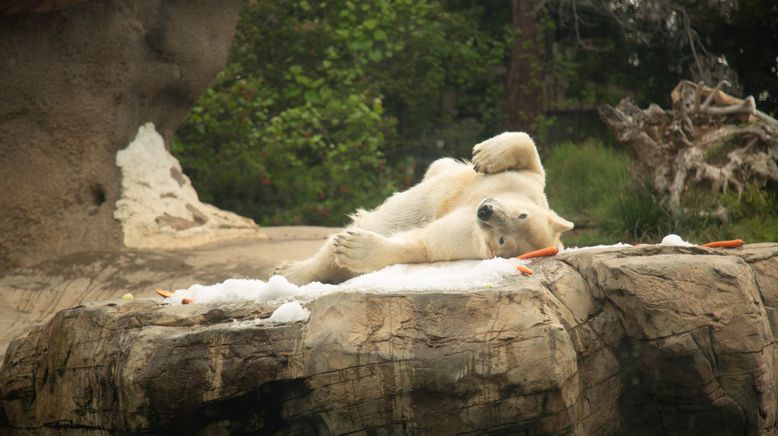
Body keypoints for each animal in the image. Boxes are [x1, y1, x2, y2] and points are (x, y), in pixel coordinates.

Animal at [276, 131, 572, 284]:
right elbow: (529, 153)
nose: (485, 212)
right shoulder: (525, 185)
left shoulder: (465, 239)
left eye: (501, 241)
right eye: (522, 214)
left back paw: (290, 271)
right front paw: (485, 155)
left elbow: (423, 244)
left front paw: (357, 248)